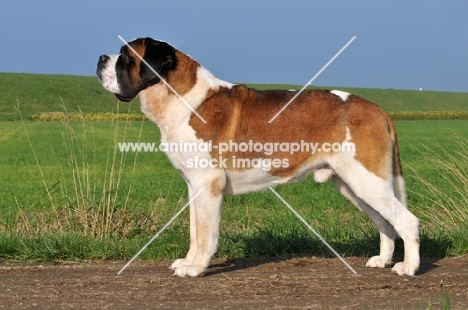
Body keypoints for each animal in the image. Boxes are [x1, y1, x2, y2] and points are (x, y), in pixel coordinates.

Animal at [95, 37, 420, 278]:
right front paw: (187, 262)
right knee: (385, 223)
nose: (100, 58)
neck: (181, 98)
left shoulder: (208, 185)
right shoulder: (193, 186)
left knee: (407, 221)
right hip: (354, 185)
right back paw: (382, 260)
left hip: (368, 181)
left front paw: (196, 268)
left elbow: (206, 232)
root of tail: (379, 110)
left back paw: (408, 267)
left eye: (125, 56)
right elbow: (194, 230)